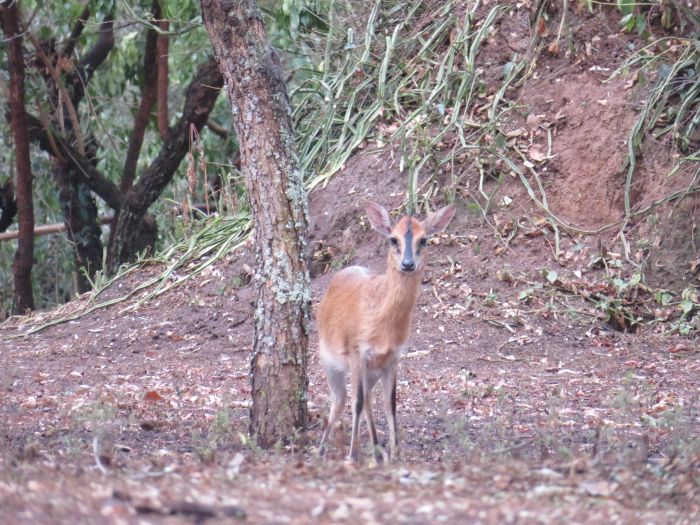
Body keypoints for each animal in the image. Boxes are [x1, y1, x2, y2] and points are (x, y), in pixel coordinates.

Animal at [316, 203, 454, 460]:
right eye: (393, 239)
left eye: (424, 240)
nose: (408, 264)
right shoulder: (356, 352)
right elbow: (356, 402)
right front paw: (352, 456)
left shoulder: (393, 358)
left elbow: (391, 405)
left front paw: (395, 455)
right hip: (329, 359)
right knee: (340, 399)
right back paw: (322, 450)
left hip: (372, 369)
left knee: (367, 398)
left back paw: (377, 453)